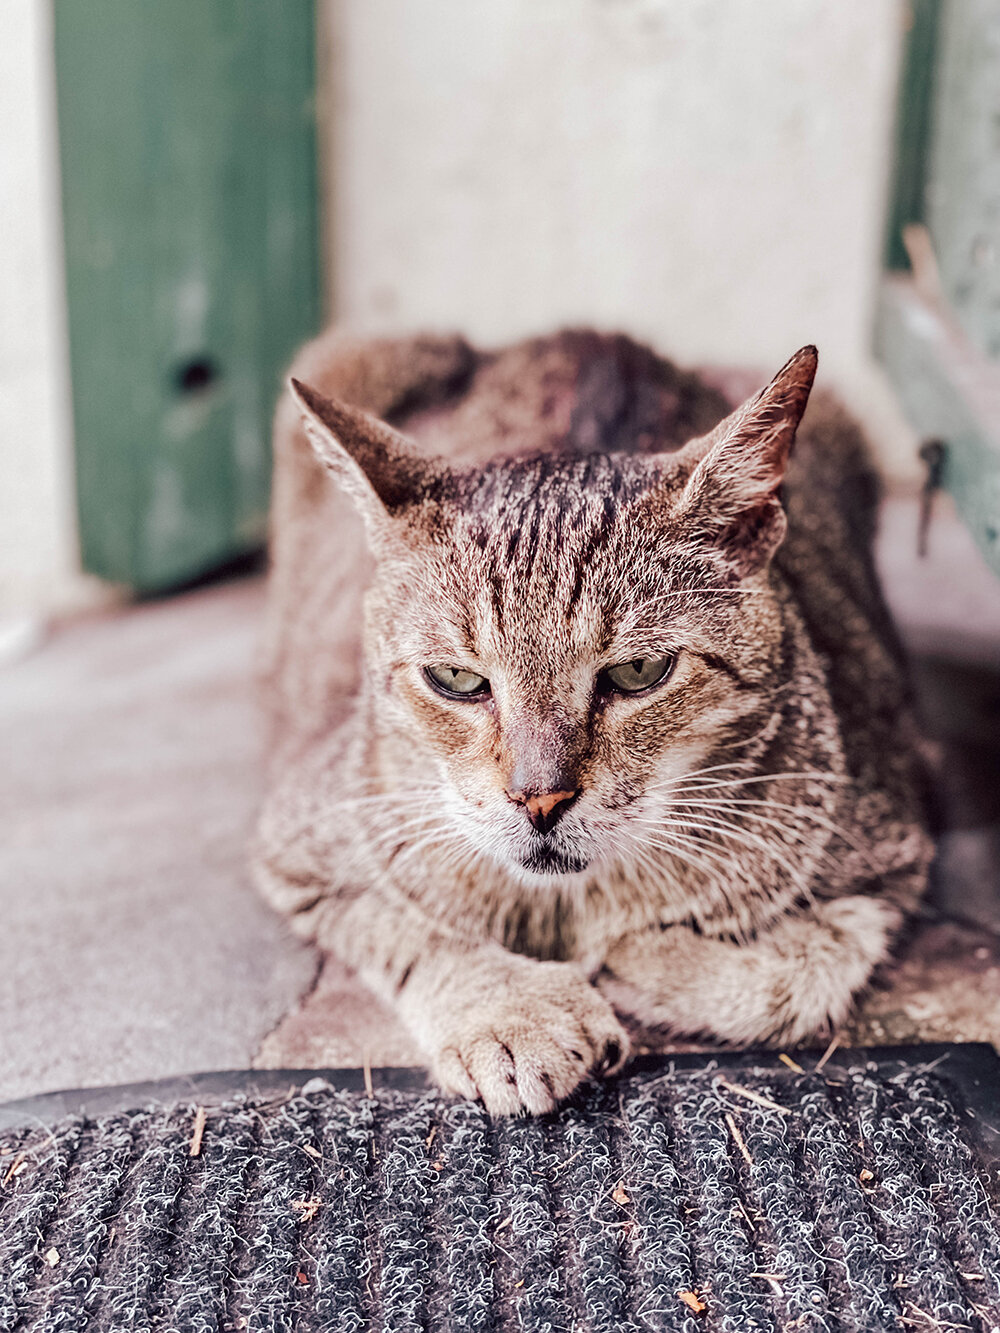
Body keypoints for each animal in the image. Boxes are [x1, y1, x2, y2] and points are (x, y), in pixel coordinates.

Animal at [254, 325, 938, 1114]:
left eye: (640, 673)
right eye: (456, 680)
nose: (538, 798)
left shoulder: (895, 841)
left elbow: (799, 972)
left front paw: (633, 955)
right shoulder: (303, 845)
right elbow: (416, 930)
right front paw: (514, 1014)